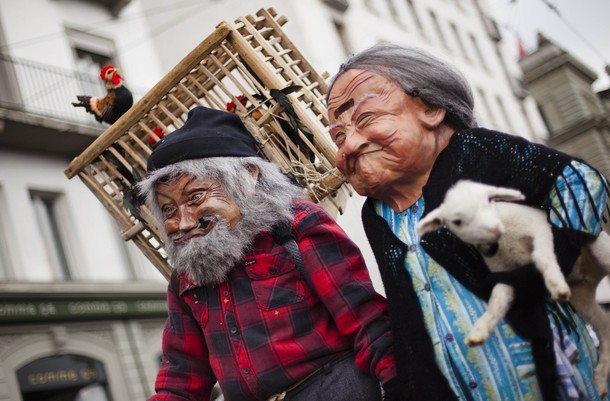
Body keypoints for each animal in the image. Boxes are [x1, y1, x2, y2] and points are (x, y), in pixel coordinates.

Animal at [416, 179, 608, 396]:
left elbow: (543, 256)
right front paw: (480, 331)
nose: (493, 228)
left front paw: (556, 285)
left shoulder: (541, 228)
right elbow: (497, 301)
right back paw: (601, 378)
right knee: (605, 324)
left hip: (601, 249)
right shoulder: (504, 272)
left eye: (489, 200)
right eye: (457, 221)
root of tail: (591, 276)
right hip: (580, 294)